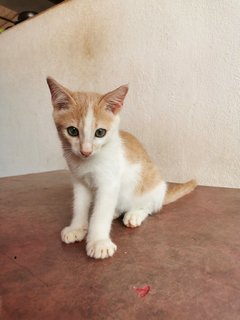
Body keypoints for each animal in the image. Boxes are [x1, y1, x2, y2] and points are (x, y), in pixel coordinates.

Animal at [46, 77, 196, 260]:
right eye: (72, 131)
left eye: (100, 132)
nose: (85, 151)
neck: (88, 163)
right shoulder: (79, 181)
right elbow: (79, 205)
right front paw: (77, 228)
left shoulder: (109, 183)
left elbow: (101, 214)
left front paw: (99, 242)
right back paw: (116, 212)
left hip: (152, 184)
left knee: (149, 206)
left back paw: (135, 214)